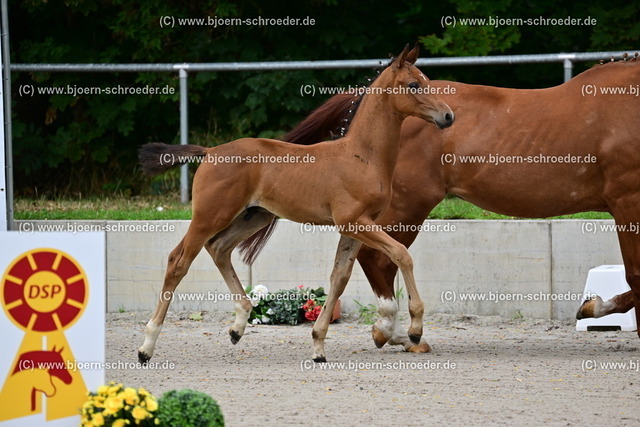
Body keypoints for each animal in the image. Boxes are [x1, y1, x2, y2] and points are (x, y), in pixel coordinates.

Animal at [137, 44, 454, 363]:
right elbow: (402, 254)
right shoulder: (354, 221)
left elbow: (339, 277)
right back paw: (146, 346)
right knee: (178, 261)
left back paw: (238, 326)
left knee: (219, 248)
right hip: (210, 215)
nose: (448, 116)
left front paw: (318, 346)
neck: (362, 156)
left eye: (427, 81)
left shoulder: (354, 227)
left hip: (253, 216)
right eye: (414, 85)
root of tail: (210, 151)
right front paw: (415, 329)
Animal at [239, 54, 640, 351]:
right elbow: (635, 275)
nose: (446, 117)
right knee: (379, 259)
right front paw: (595, 307)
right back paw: (396, 332)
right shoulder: (627, 203)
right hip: (407, 208)